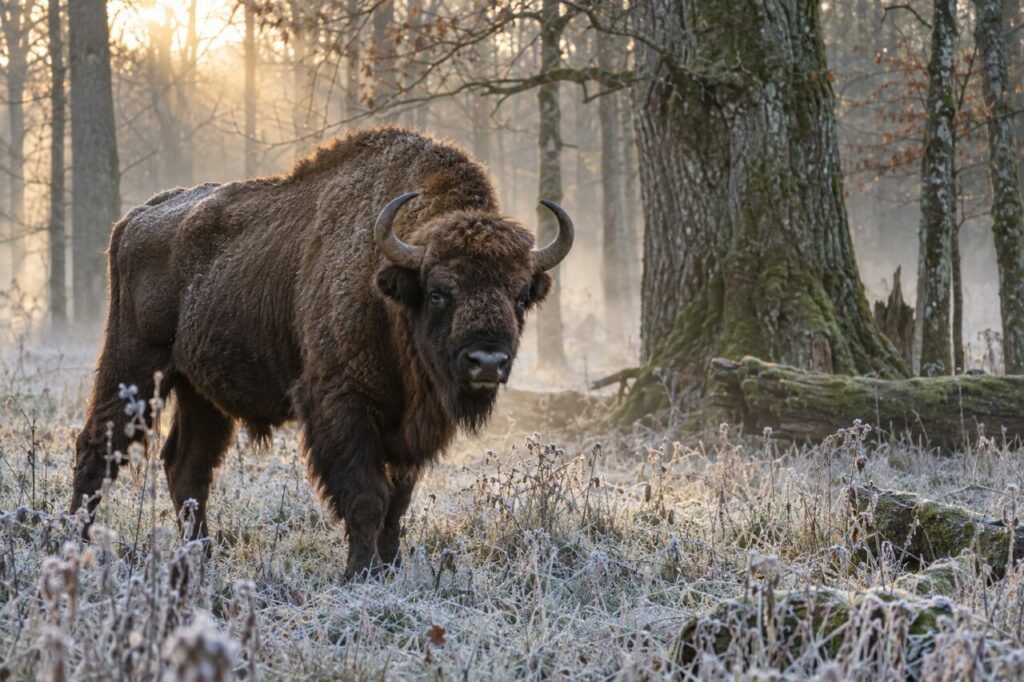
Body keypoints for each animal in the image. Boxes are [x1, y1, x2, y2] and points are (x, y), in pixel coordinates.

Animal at [69, 127, 573, 579]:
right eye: (438, 292)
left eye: (520, 295)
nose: (487, 362)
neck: (387, 291)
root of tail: (132, 219)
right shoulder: (340, 406)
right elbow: (366, 496)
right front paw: (361, 573)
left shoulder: (409, 431)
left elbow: (397, 502)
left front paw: (391, 568)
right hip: (134, 365)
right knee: (96, 447)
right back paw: (72, 547)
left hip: (201, 394)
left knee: (186, 467)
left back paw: (202, 558)